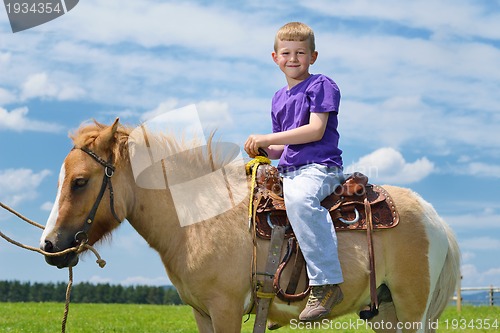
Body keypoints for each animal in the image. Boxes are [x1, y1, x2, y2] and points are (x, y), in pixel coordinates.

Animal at [40, 119, 460, 332]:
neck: (199, 218)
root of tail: (433, 217)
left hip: (410, 308)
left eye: (80, 182)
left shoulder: (225, 308)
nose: (49, 246)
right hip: (387, 311)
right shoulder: (202, 313)